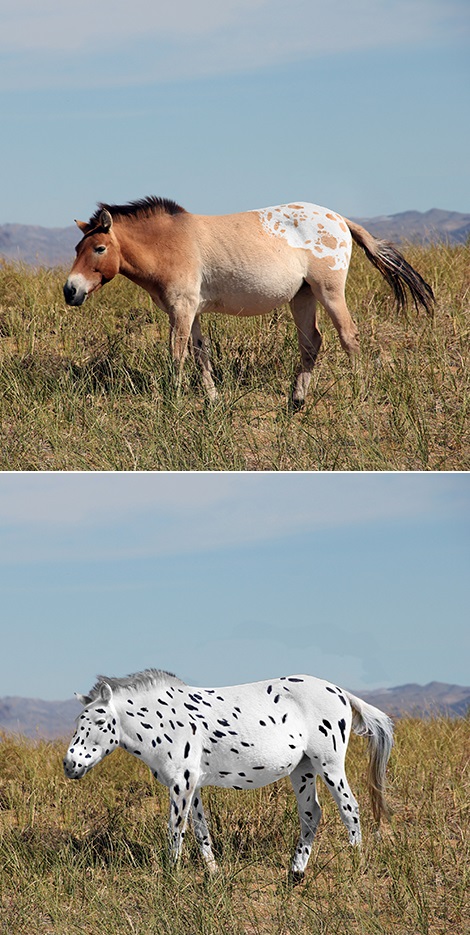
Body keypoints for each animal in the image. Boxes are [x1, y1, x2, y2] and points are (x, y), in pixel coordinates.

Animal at [62, 199, 434, 408]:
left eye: (99, 249)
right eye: (77, 249)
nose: (70, 290)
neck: (169, 243)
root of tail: (340, 218)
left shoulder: (181, 310)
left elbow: (178, 354)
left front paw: (173, 399)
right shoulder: (192, 311)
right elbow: (201, 353)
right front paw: (212, 400)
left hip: (329, 292)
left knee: (349, 337)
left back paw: (358, 394)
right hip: (302, 297)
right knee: (311, 342)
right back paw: (296, 400)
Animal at [62, 668, 392, 880]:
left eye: (100, 721)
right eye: (78, 721)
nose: (70, 764)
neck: (164, 718)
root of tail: (340, 692)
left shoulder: (181, 783)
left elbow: (176, 829)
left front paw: (171, 876)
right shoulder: (192, 785)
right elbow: (200, 830)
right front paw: (213, 873)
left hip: (329, 765)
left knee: (349, 809)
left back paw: (357, 867)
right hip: (303, 770)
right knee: (311, 813)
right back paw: (296, 873)